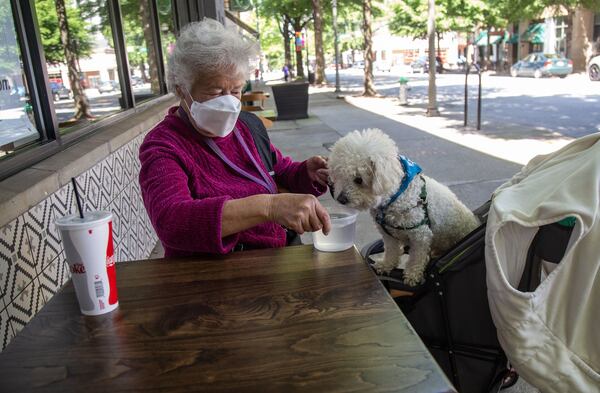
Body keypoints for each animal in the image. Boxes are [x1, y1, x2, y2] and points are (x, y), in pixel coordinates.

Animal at [328, 129, 478, 284]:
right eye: (339, 175)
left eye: (358, 179)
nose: (341, 199)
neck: (396, 197)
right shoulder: (388, 235)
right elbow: (391, 251)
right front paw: (386, 265)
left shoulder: (420, 236)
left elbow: (416, 257)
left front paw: (412, 274)